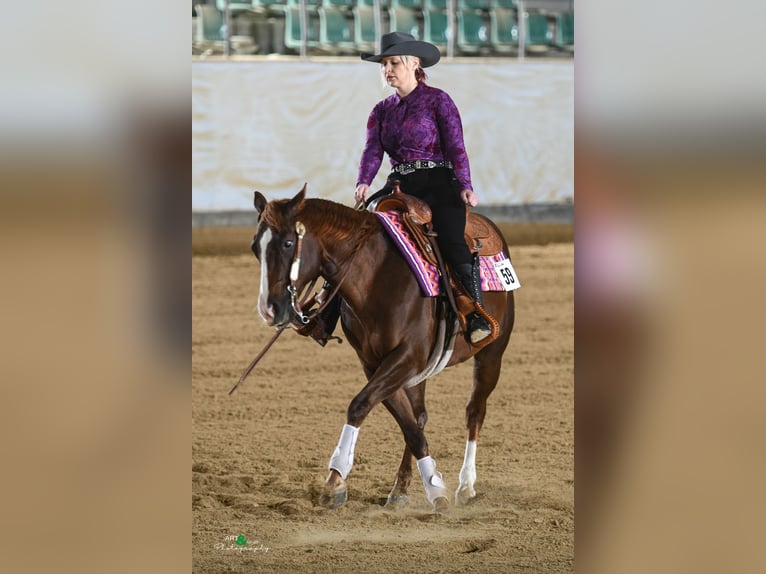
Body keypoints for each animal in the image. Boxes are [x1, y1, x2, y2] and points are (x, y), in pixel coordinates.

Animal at [250, 184, 515, 512]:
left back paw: (466, 486)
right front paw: (430, 486)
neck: (375, 275)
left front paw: (335, 480)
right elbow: (408, 426)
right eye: (255, 247)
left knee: (475, 411)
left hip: (492, 354)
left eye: (288, 243)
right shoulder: (376, 362)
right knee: (421, 416)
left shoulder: (406, 357)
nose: (269, 309)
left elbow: (360, 405)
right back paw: (403, 487)